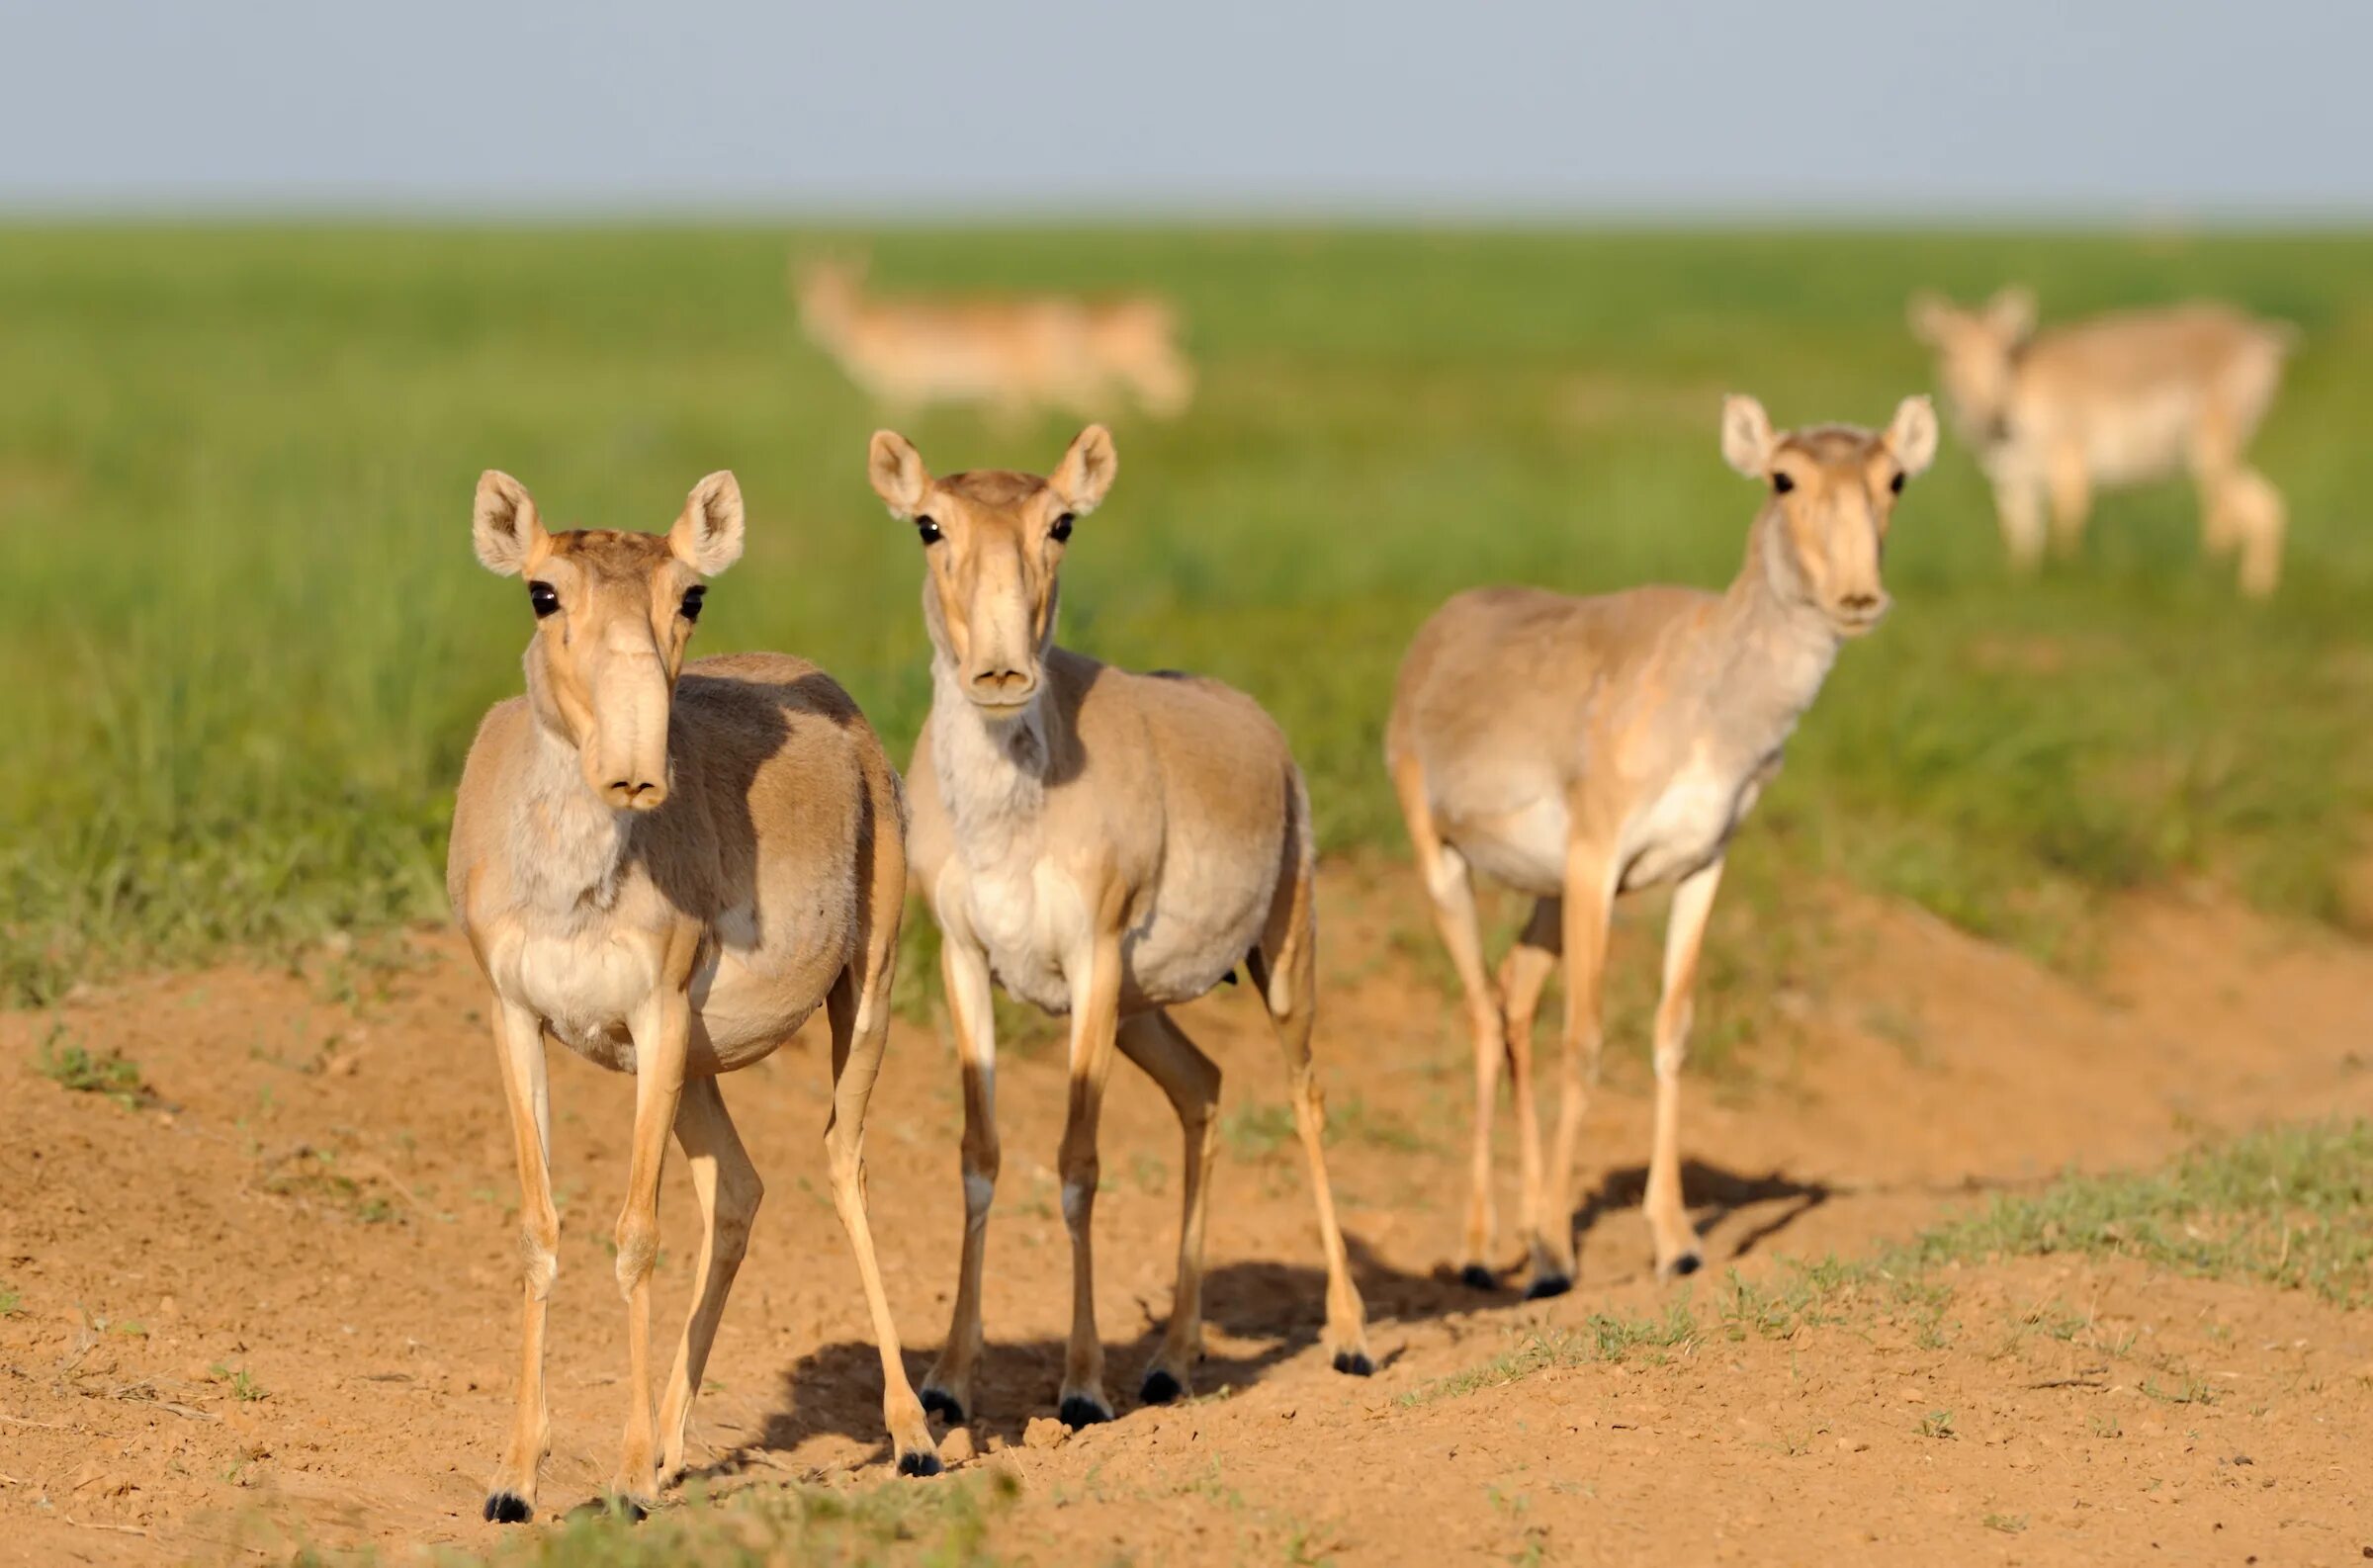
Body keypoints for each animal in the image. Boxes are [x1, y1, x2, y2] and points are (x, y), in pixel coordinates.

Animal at [448, 467, 939, 1518]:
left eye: (691, 596)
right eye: (542, 592)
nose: (634, 769)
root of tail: (837, 701)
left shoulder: (659, 1014)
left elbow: (637, 1233)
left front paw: (630, 1480)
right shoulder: (519, 1019)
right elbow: (539, 1229)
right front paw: (515, 1479)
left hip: (862, 995)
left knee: (844, 1165)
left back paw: (915, 1436)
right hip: (697, 1072)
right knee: (742, 1188)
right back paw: (679, 1445)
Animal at [1385, 393, 1926, 1299]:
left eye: (1896, 478)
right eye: (1783, 477)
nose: (1859, 596)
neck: (1710, 691)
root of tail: (1436, 633)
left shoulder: (1702, 866)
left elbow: (1672, 1035)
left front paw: (1675, 1241)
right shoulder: (1597, 862)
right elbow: (1586, 1040)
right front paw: (1557, 1255)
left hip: (1544, 896)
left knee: (1514, 998)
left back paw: (1522, 1225)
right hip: (1445, 865)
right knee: (1481, 1012)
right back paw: (1483, 1249)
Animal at [1907, 286, 2278, 592]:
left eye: (2001, 353)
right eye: (1948, 353)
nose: (1997, 424)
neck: (2018, 389)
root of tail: (2263, 336)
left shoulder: (2070, 464)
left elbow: (2065, 528)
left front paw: (2066, 577)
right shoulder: (2012, 482)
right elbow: (2022, 539)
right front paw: (2021, 582)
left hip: (2210, 453)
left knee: (2245, 512)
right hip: (2218, 458)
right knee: (2262, 508)